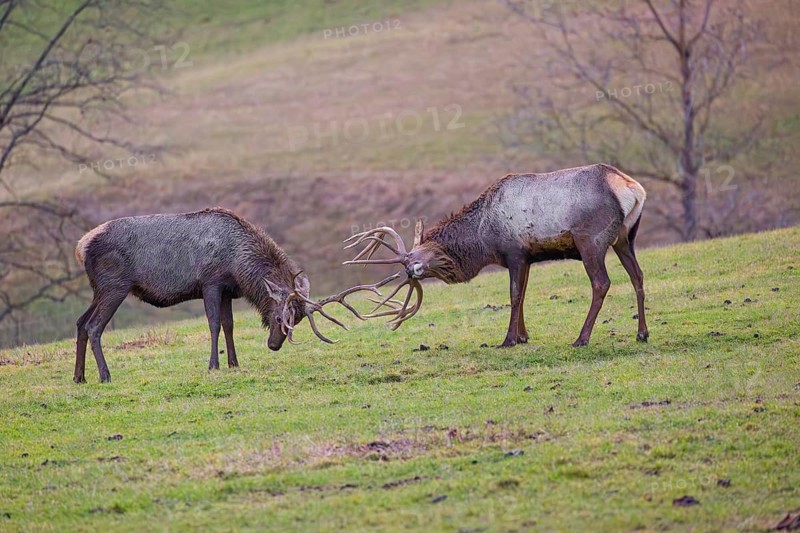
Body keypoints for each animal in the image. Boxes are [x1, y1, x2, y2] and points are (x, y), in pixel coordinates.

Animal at [73, 207, 383, 383]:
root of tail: (80, 246)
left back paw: (79, 377)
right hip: (115, 285)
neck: (238, 265)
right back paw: (105, 375)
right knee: (94, 326)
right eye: (280, 317)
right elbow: (214, 325)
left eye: (297, 320)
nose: (274, 345)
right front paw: (214, 365)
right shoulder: (211, 282)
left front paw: (234, 362)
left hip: (100, 288)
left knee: (80, 322)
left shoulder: (227, 292)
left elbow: (229, 325)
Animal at [345, 164, 649, 348]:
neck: (484, 238)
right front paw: (524, 336)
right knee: (638, 276)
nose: (411, 270)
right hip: (626, 238)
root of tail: (631, 188)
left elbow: (514, 295)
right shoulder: (527, 257)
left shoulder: (513, 252)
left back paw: (581, 338)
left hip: (591, 241)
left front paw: (508, 339)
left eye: (410, 259)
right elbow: (523, 295)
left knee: (601, 283)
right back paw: (642, 333)